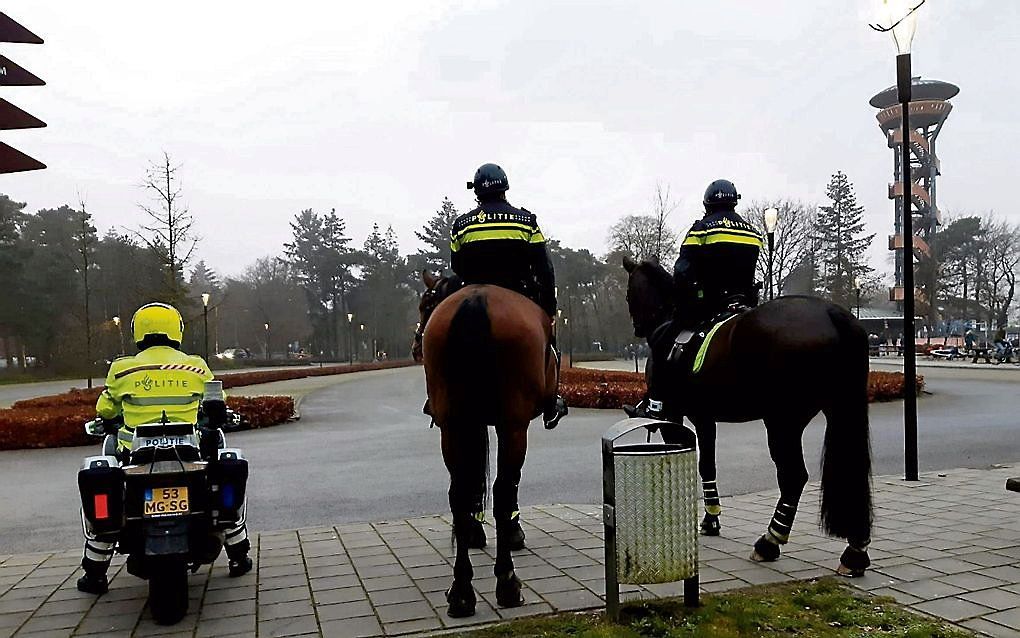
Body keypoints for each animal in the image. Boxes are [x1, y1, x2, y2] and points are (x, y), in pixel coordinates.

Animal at [412, 269, 558, 616]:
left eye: (426, 306)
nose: (415, 347)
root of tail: (476, 301)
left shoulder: (471, 424)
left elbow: (473, 483)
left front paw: (473, 532)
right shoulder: (510, 425)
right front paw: (511, 534)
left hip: (453, 425)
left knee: (459, 492)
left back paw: (462, 590)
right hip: (513, 424)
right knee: (503, 489)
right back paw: (507, 582)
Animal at [624, 256, 873, 575]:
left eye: (629, 293)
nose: (638, 327)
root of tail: (831, 313)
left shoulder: (675, 416)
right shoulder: (705, 417)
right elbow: (707, 466)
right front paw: (711, 519)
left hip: (782, 421)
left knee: (793, 477)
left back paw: (770, 541)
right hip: (838, 410)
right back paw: (855, 550)